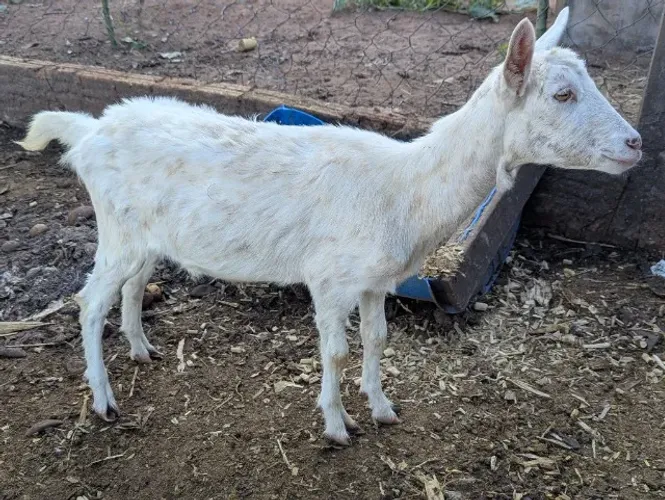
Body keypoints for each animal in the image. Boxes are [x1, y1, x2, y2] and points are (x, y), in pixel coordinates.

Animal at [17, 8, 641, 445]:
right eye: (562, 94)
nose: (636, 144)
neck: (406, 189)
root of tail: (88, 129)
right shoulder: (330, 279)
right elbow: (336, 352)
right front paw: (339, 427)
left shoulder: (374, 281)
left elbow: (378, 339)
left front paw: (383, 408)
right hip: (116, 228)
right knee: (90, 300)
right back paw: (104, 399)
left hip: (146, 234)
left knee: (130, 286)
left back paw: (141, 348)